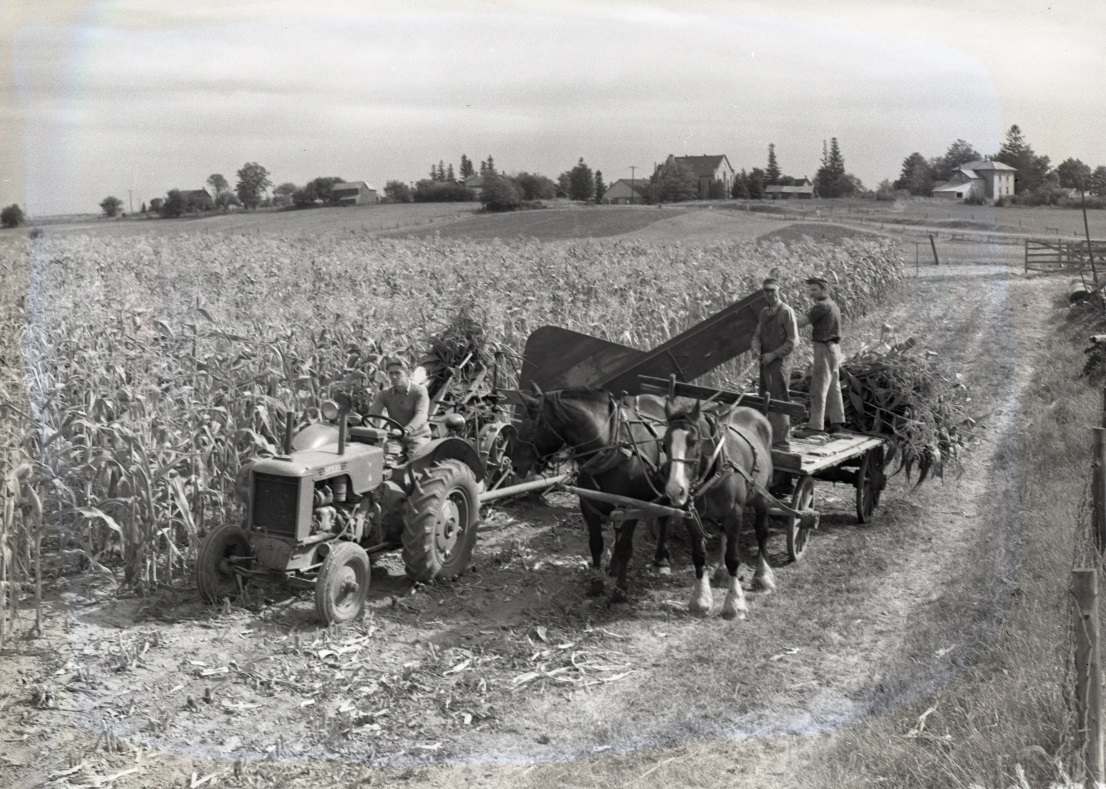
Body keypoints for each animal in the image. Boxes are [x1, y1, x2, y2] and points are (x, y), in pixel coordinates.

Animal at [513, 385, 676, 601]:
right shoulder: (589, 504)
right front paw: (596, 584)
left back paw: (660, 559)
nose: (515, 464)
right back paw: (614, 566)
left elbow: (625, 547)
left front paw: (619, 591)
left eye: (531, 423)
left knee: (664, 519)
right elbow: (596, 544)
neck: (612, 448)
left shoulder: (633, 506)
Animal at [663, 396, 778, 619]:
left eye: (693, 441)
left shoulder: (735, 515)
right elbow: (699, 556)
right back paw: (722, 571)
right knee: (724, 534)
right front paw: (700, 599)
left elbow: (733, 558)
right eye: (664, 445)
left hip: (762, 498)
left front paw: (735, 603)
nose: (675, 490)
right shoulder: (691, 517)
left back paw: (763, 576)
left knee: (762, 533)